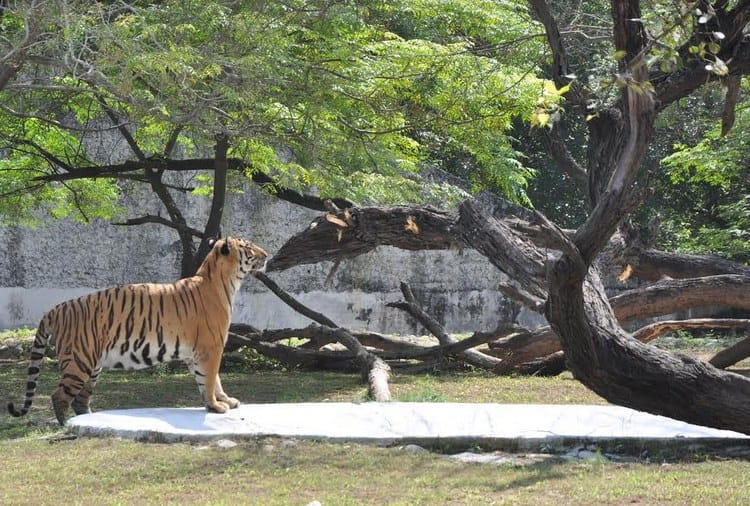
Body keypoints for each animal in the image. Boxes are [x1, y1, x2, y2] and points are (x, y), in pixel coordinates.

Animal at [7, 236, 268, 425]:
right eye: (249, 247)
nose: (266, 255)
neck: (226, 281)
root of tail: (56, 308)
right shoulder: (210, 347)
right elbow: (210, 378)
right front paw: (215, 406)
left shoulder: (196, 352)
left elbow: (212, 380)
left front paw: (224, 400)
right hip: (78, 361)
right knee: (60, 396)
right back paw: (66, 425)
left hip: (92, 364)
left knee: (80, 399)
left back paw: (89, 419)